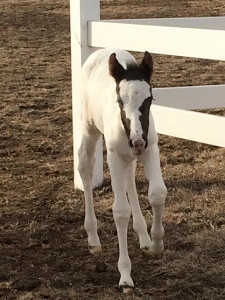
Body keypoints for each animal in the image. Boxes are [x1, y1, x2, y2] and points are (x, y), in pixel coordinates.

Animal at [78, 49, 166, 292]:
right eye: (119, 100)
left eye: (150, 99)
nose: (137, 141)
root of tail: (99, 52)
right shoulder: (115, 157)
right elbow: (120, 211)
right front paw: (125, 275)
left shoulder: (150, 149)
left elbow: (157, 193)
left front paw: (156, 245)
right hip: (89, 128)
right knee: (84, 165)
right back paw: (93, 238)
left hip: (131, 155)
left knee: (130, 177)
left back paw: (143, 236)